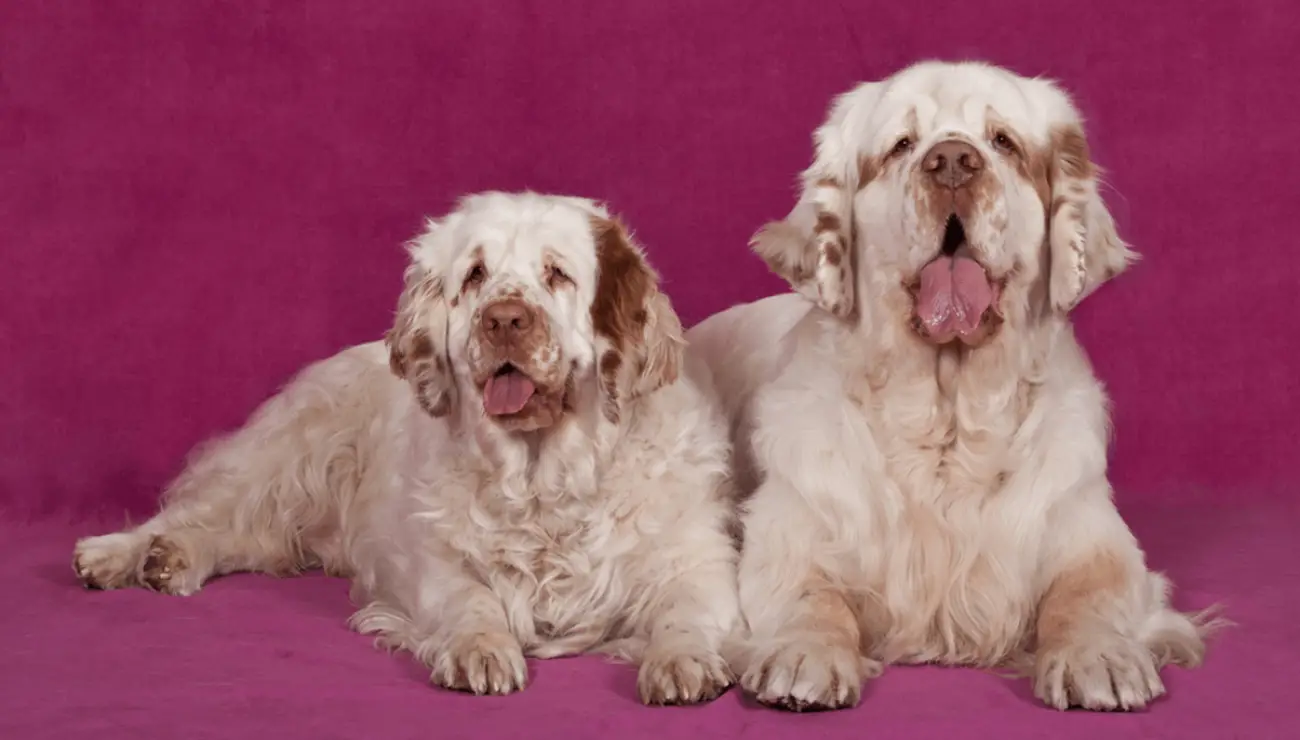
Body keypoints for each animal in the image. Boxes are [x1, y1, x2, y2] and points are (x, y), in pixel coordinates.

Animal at [73, 189, 743, 702]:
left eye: (557, 274)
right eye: (475, 276)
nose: (504, 319)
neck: (540, 479)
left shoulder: (697, 561)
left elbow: (686, 608)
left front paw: (681, 662)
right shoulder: (435, 563)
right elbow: (472, 597)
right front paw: (482, 648)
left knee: (255, 541)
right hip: (288, 461)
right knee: (205, 513)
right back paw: (126, 553)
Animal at [691, 63, 1216, 707]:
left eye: (1003, 142)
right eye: (901, 146)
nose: (952, 163)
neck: (948, 425)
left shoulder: (1095, 537)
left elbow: (1087, 592)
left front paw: (1100, 657)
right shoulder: (788, 533)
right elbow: (811, 594)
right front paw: (803, 654)